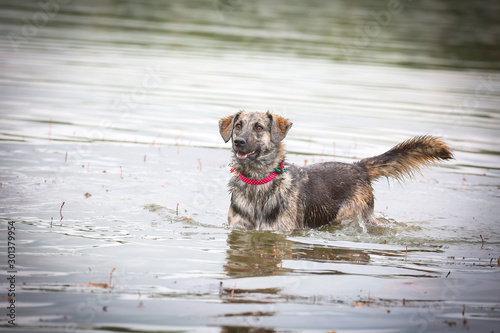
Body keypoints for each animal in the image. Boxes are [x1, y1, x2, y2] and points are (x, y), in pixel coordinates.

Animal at [219, 110, 454, 230]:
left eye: (258, 128)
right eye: (238, 126)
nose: (238, 142)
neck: (257, 182)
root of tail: (358, 167)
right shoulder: (239, 230)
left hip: (350, 213)